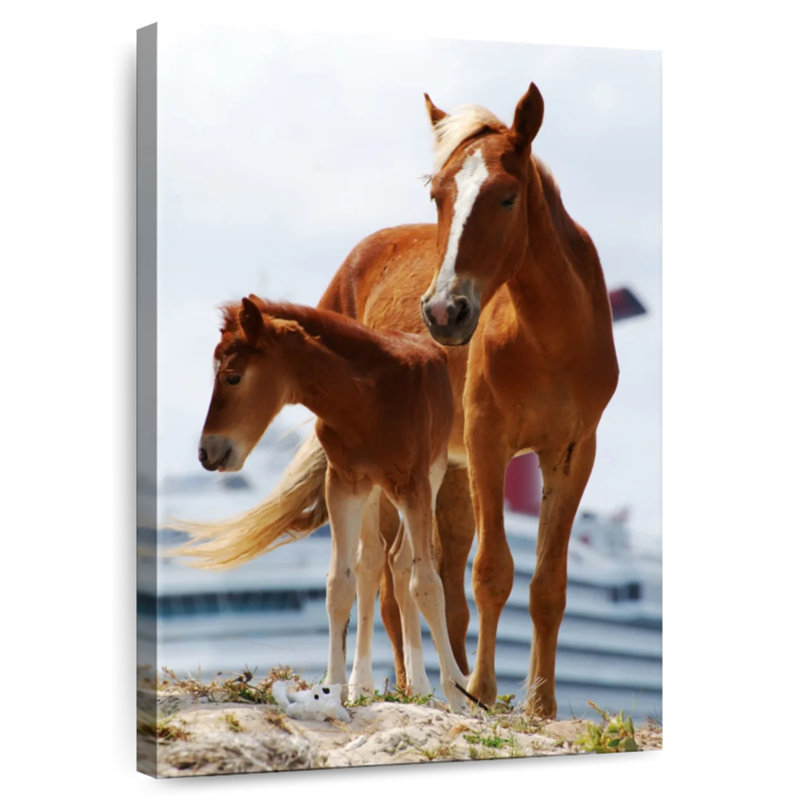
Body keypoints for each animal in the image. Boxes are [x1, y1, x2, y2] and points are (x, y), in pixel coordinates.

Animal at [173, 296, 469, 713]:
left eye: (232, 377)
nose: (206, 452)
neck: (366, 400)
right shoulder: (343, 484)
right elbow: (339, 585)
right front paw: (332, 689)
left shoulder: (414, 484)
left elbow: (427, 583)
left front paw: (458, 694)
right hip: (373, 491)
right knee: (377, 561)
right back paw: (373, 685)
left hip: (432, 474)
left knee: (403, 563)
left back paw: (423, 686)